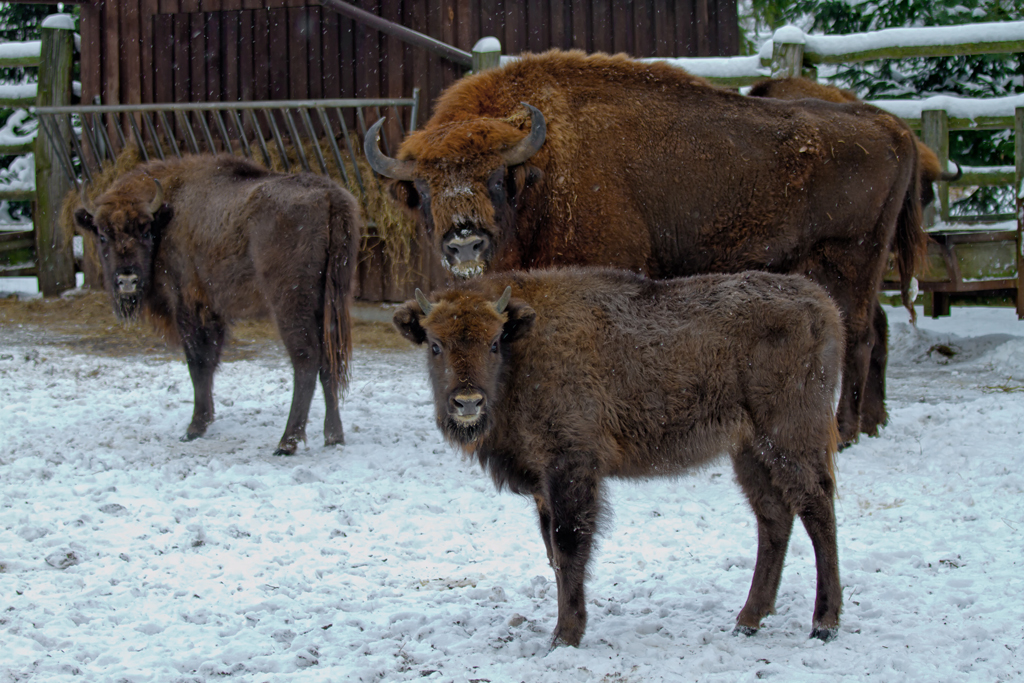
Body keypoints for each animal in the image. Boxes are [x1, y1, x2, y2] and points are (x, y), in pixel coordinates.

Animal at [73, 153, 360, 454]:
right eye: (102, 235)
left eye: (145, 231)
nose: (127, 279)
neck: (167, 215)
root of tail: (329, 196)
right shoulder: (213, 312)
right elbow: (209, 362)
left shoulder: (187, 305)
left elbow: (198, 362)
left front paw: (194, 428)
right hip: (330, 302)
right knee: (329, 361)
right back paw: (334, 436)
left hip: (289, 304)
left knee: (306, 359)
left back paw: (287, 442)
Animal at [368, 49, 929, 444]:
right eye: (424, 189)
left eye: (495, 178)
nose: (464, 242)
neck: (543, 170)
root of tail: (891, 125)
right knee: (878, 327)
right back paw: (874, 422)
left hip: (851, 261)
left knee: (861, 334)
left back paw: (847, 431)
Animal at [391, 266, 839, 647]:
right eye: (435, 345)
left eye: (493, 342)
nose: (468, 402)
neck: (525, 348)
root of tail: (821, 303)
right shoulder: (542, 486)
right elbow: (552, 553)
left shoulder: (571, 466)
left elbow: (568, 546)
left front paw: (565, 636)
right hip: (748, 450)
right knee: (774, 517)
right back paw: (748, 619)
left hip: (789, 438)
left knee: (817, 508)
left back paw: (825, 623)